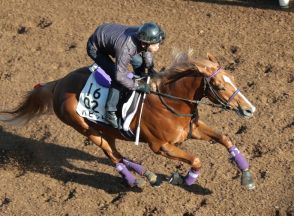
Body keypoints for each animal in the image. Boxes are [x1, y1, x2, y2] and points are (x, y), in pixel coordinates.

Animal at [0, 51, 256, 190]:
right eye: (219, 86)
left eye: (233, 78)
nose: (249, 109)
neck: (171, 102)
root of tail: (58, 84)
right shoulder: (161, 146)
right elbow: (196, 160)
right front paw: (186, 179)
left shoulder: (191, 130)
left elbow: (225, 138)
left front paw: (246, 176)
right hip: (87, 130)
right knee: (113, 157)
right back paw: (135, 180)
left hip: (106, 131)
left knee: (117, 154)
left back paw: (148, 175)